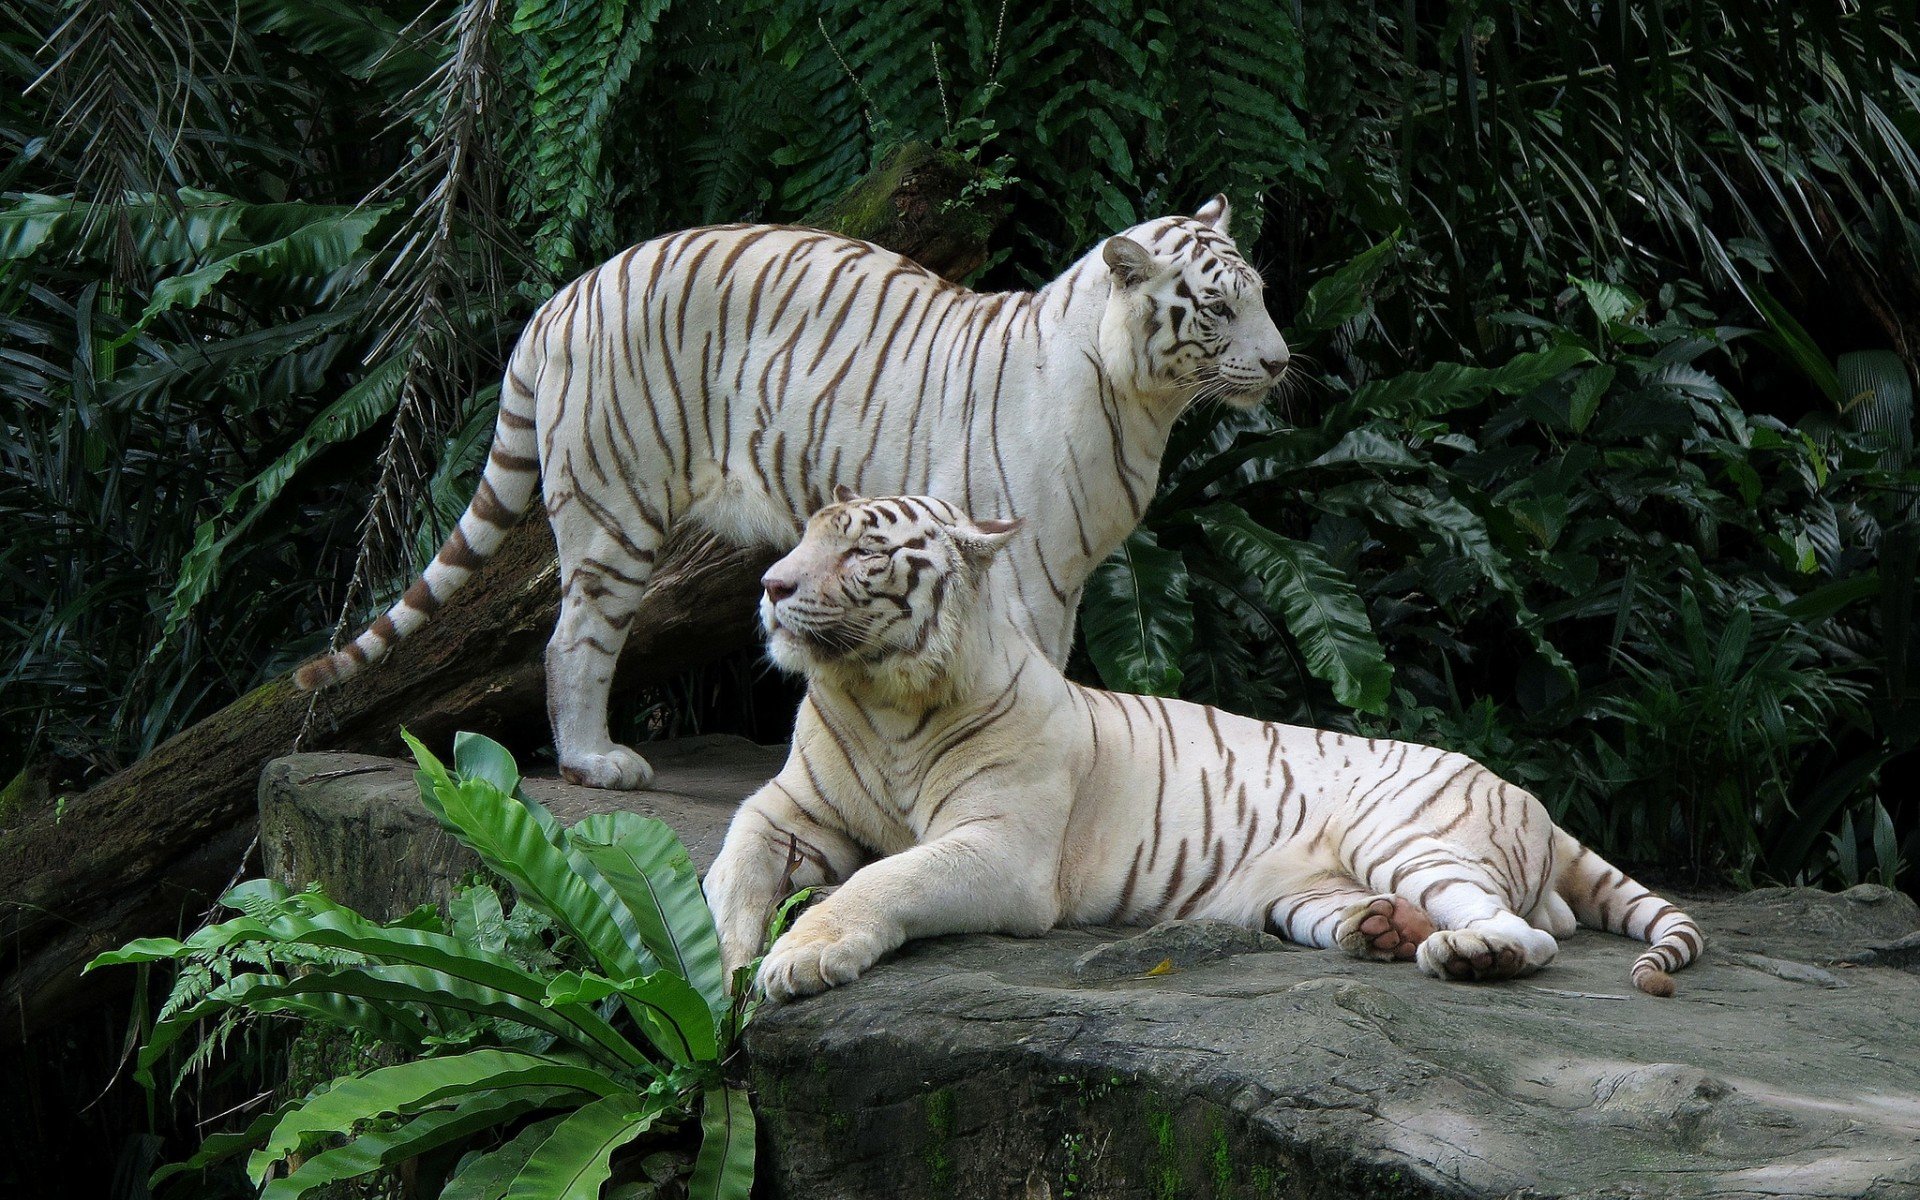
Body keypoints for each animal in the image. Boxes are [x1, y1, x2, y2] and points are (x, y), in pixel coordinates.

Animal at [293, 196, 1291, 790]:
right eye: (1216, 308)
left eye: (1262, 295)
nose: (1282, 362)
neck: (1145, 404)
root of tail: (562, 297)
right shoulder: (1027, 563)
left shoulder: (1072, 569)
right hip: (617, 510)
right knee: (573, 640)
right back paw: (595, 763)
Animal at [704, 491, 1705, 1001]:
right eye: (803, 537)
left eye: (862, 553)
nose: (770, 585)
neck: (883, 701)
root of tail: (1530, 798)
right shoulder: (788, 806)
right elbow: (731, 864)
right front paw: (727, 962)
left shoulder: (1003, 849)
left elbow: (885, 877)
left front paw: (799, 958)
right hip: (1300, 897)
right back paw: (1383, 932)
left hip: (1408, 834)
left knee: (1534, 932)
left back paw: (1469, 957)